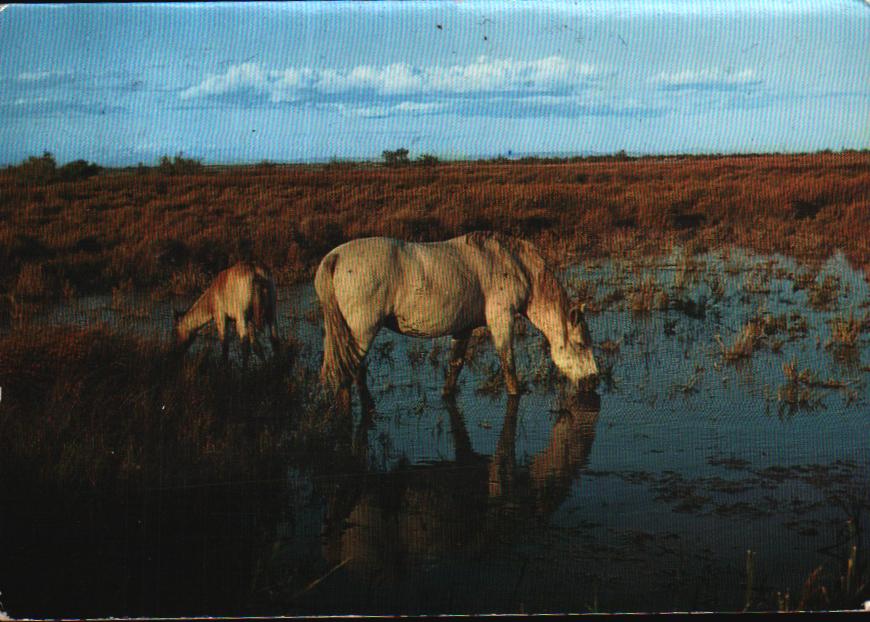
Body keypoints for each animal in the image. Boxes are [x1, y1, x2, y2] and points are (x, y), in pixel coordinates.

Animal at [316, 232, 600, 402]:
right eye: (581, 344)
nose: (593, 381)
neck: (513, 263)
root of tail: (335, 257)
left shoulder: (464, 328)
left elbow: (455, 365)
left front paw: (446, 395)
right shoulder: (501, 319)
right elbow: (508, 364)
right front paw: (515, 394)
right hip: (362, 332)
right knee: (347, 373)